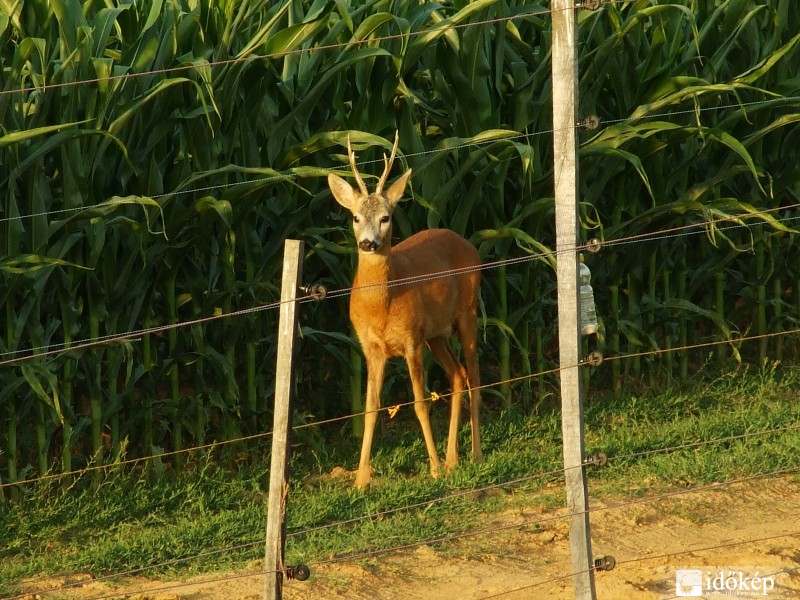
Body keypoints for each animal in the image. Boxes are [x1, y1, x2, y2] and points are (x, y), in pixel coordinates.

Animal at [326, 134, 482, 490]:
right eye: (355, 217)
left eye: (386, 217)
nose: (368, 243)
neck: (382, 304)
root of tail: (466, 241)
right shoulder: (371, 348)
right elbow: (370, 407)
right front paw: (361, 480)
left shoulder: (411, 341)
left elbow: (420, 403)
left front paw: (434, 469)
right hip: (436, 335)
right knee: (458, 375)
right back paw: (453, 459)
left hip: (468, 313)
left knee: (474, 377)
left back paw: (475, 454)